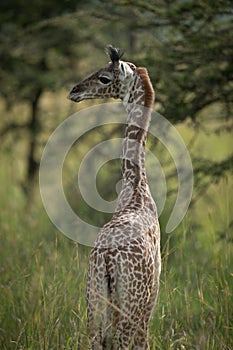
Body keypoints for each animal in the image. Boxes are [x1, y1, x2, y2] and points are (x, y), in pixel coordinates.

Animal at [68, 46, 161, 350]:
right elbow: (144, 342)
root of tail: (108, 257)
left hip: (94, 295)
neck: (136, 188)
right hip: (130, 302)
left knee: (96, 340)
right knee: (122, 341)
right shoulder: (152, 296)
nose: (74, 91)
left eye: (104, 78)